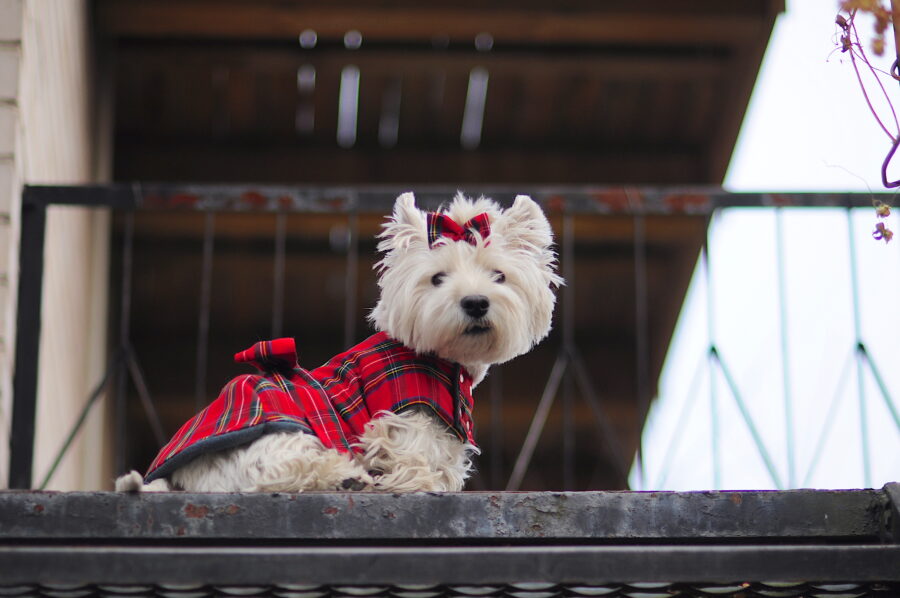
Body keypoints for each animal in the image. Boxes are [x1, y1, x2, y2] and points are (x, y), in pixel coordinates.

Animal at [116, 195, 560, 494]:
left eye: (499, 276)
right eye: (437, 278)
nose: (475, 302)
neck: (444, 360)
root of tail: (177, 476)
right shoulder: (404, 417)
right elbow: (410, 455)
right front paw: (417, 480)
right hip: (282, 430)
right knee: (274, 470)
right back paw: (345, 476)